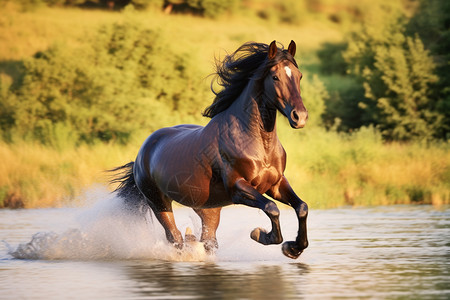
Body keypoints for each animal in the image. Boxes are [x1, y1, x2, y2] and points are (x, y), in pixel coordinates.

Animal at [110, 40, 310, 258]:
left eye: (299, 76)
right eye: (275, 76)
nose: (300, 117)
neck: (258, 144)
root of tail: (141, 154)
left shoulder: (276, 184)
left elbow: (301, 207)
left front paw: (294, 248)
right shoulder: (238, 188)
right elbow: (271, 207)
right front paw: (260, 234)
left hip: (208, 208)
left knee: (208, 240)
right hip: (158, 203)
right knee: (176, 238)